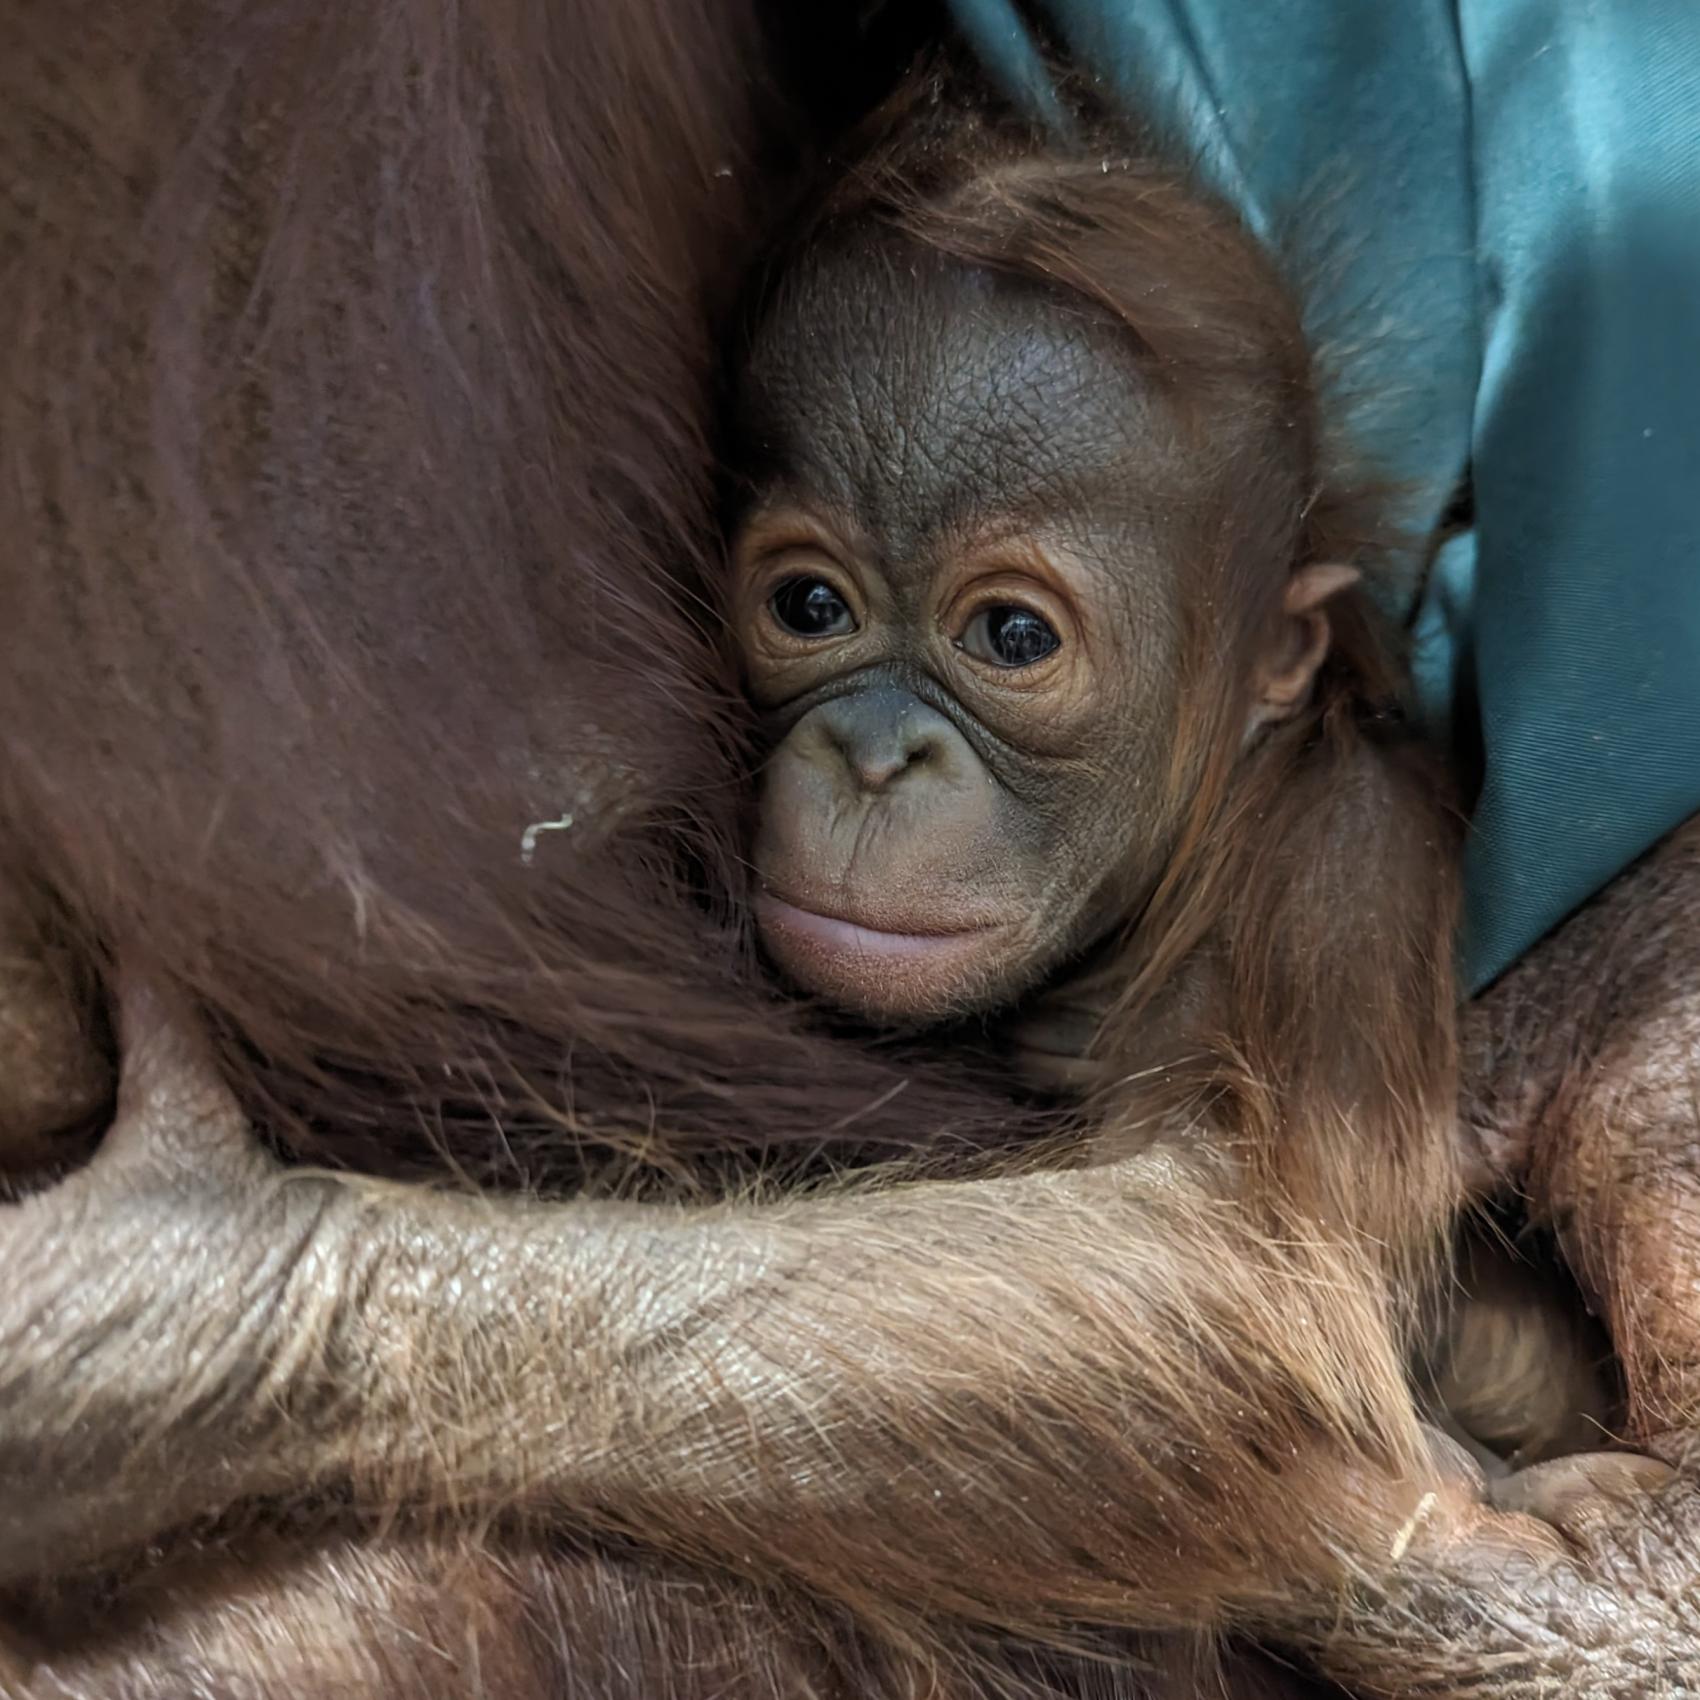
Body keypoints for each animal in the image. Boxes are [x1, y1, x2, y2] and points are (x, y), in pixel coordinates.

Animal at [6, 19, 1700, 1700]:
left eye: (1011, 636)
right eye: (808, 606)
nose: (877, 754)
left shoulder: (1337, 866)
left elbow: (1251, 1255)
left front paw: (158, 1316)